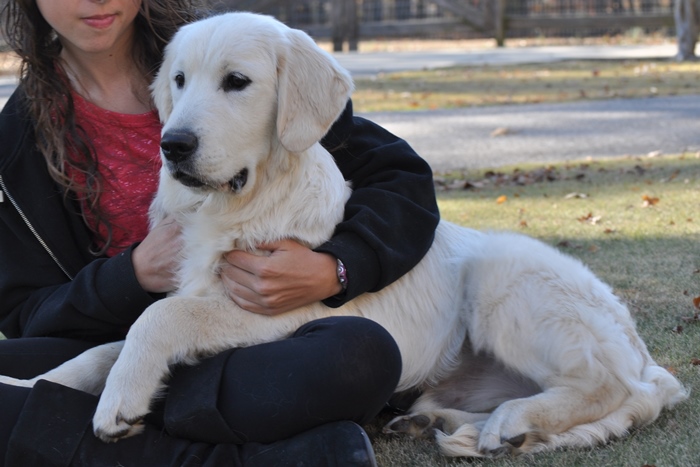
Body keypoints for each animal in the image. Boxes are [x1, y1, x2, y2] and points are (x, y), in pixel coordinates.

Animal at [1, 11, 688, 460]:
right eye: (178, 80)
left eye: (236, 82)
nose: (173, 146)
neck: (242, 204)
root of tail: (647, 358)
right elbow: (95, 353)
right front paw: (31, 386)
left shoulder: (275, 307)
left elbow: (158, 319)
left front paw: (117, 405)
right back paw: (441, 423)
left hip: (505, 277)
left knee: (606, 385)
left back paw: (512, 421)